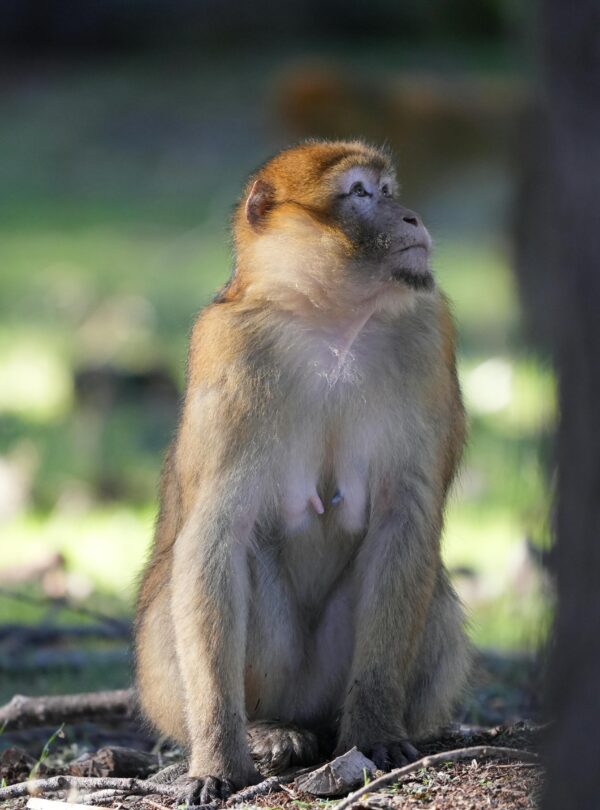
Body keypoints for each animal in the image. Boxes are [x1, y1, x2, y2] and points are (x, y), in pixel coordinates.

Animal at [135, 140, 471, 804]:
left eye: (388, 191)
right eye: (361, 194)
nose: (412, 217)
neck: (331, 319)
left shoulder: (428, 333)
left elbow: (403, 518)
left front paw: (375, 731)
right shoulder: (228, 347)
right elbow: (215, 537)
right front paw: (217, 757)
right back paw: (269, 730)